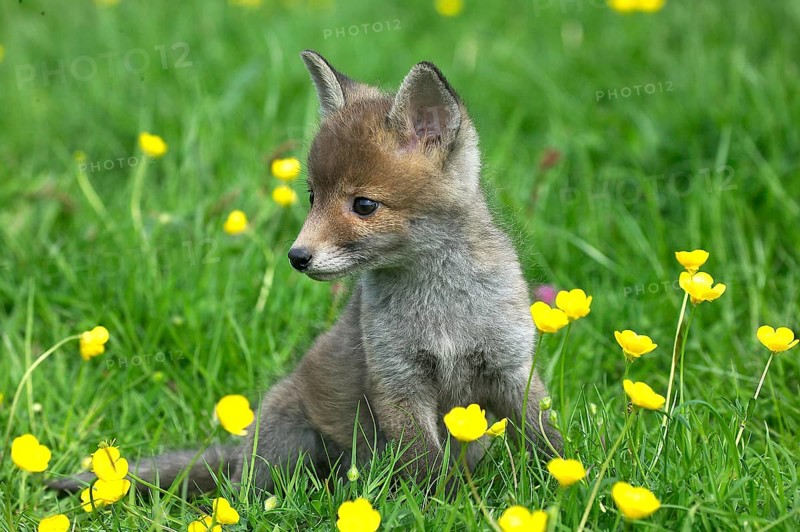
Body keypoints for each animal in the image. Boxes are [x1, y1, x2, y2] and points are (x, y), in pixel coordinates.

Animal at [51, 50, 560, 496]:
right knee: (248, 492)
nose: (297, 256)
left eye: (363, 205)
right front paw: (446, 506)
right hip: (287, 445)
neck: (441, 305)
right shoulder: (397, 381)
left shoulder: (511, 365)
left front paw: (562, 482)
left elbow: (548, 438)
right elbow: (427, 468)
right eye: (313, 196)